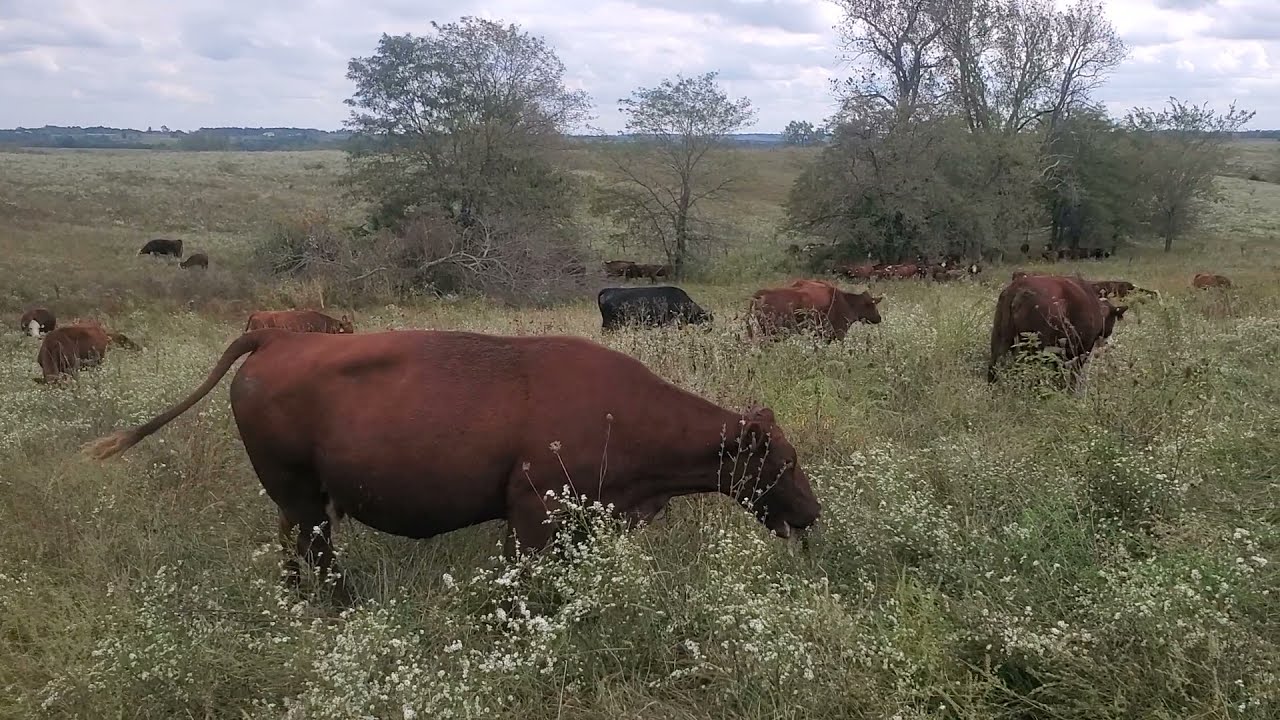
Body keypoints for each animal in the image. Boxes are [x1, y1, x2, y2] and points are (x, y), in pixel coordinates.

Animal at [82, 328, 822, 601]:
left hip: (299, 497)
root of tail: (272, 337)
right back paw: (342, 606)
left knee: (293, 544)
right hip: (301, 494)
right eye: (784, 459)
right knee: (313, 546)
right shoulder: (530, 513)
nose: (814, 511)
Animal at [987, 275, 1128, 388]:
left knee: (993, 366)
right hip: (1034, 347)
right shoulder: (1081, 351)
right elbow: (1072, 375)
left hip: (999, 339)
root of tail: (1018, 288)